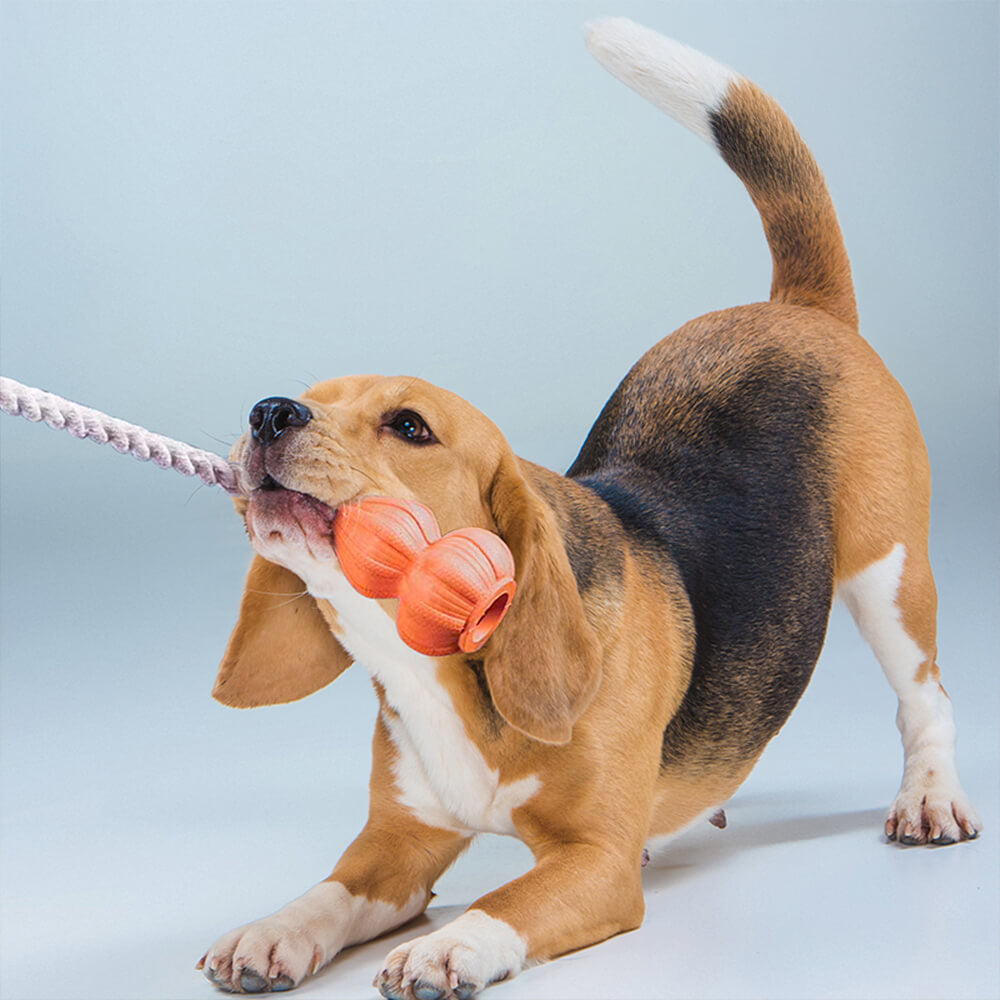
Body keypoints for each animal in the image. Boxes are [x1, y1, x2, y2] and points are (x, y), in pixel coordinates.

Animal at [199, 17, 980, 1000]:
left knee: (926, 694)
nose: (269, 413)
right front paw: (273, 931)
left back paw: (930, 795)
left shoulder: (595, 862)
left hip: (888, 573)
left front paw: (449, 947)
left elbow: (508, 904)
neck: (433, 664)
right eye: (306, 396)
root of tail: (799, 310)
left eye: (410, 426)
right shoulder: (396, 845)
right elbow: (328, 894)